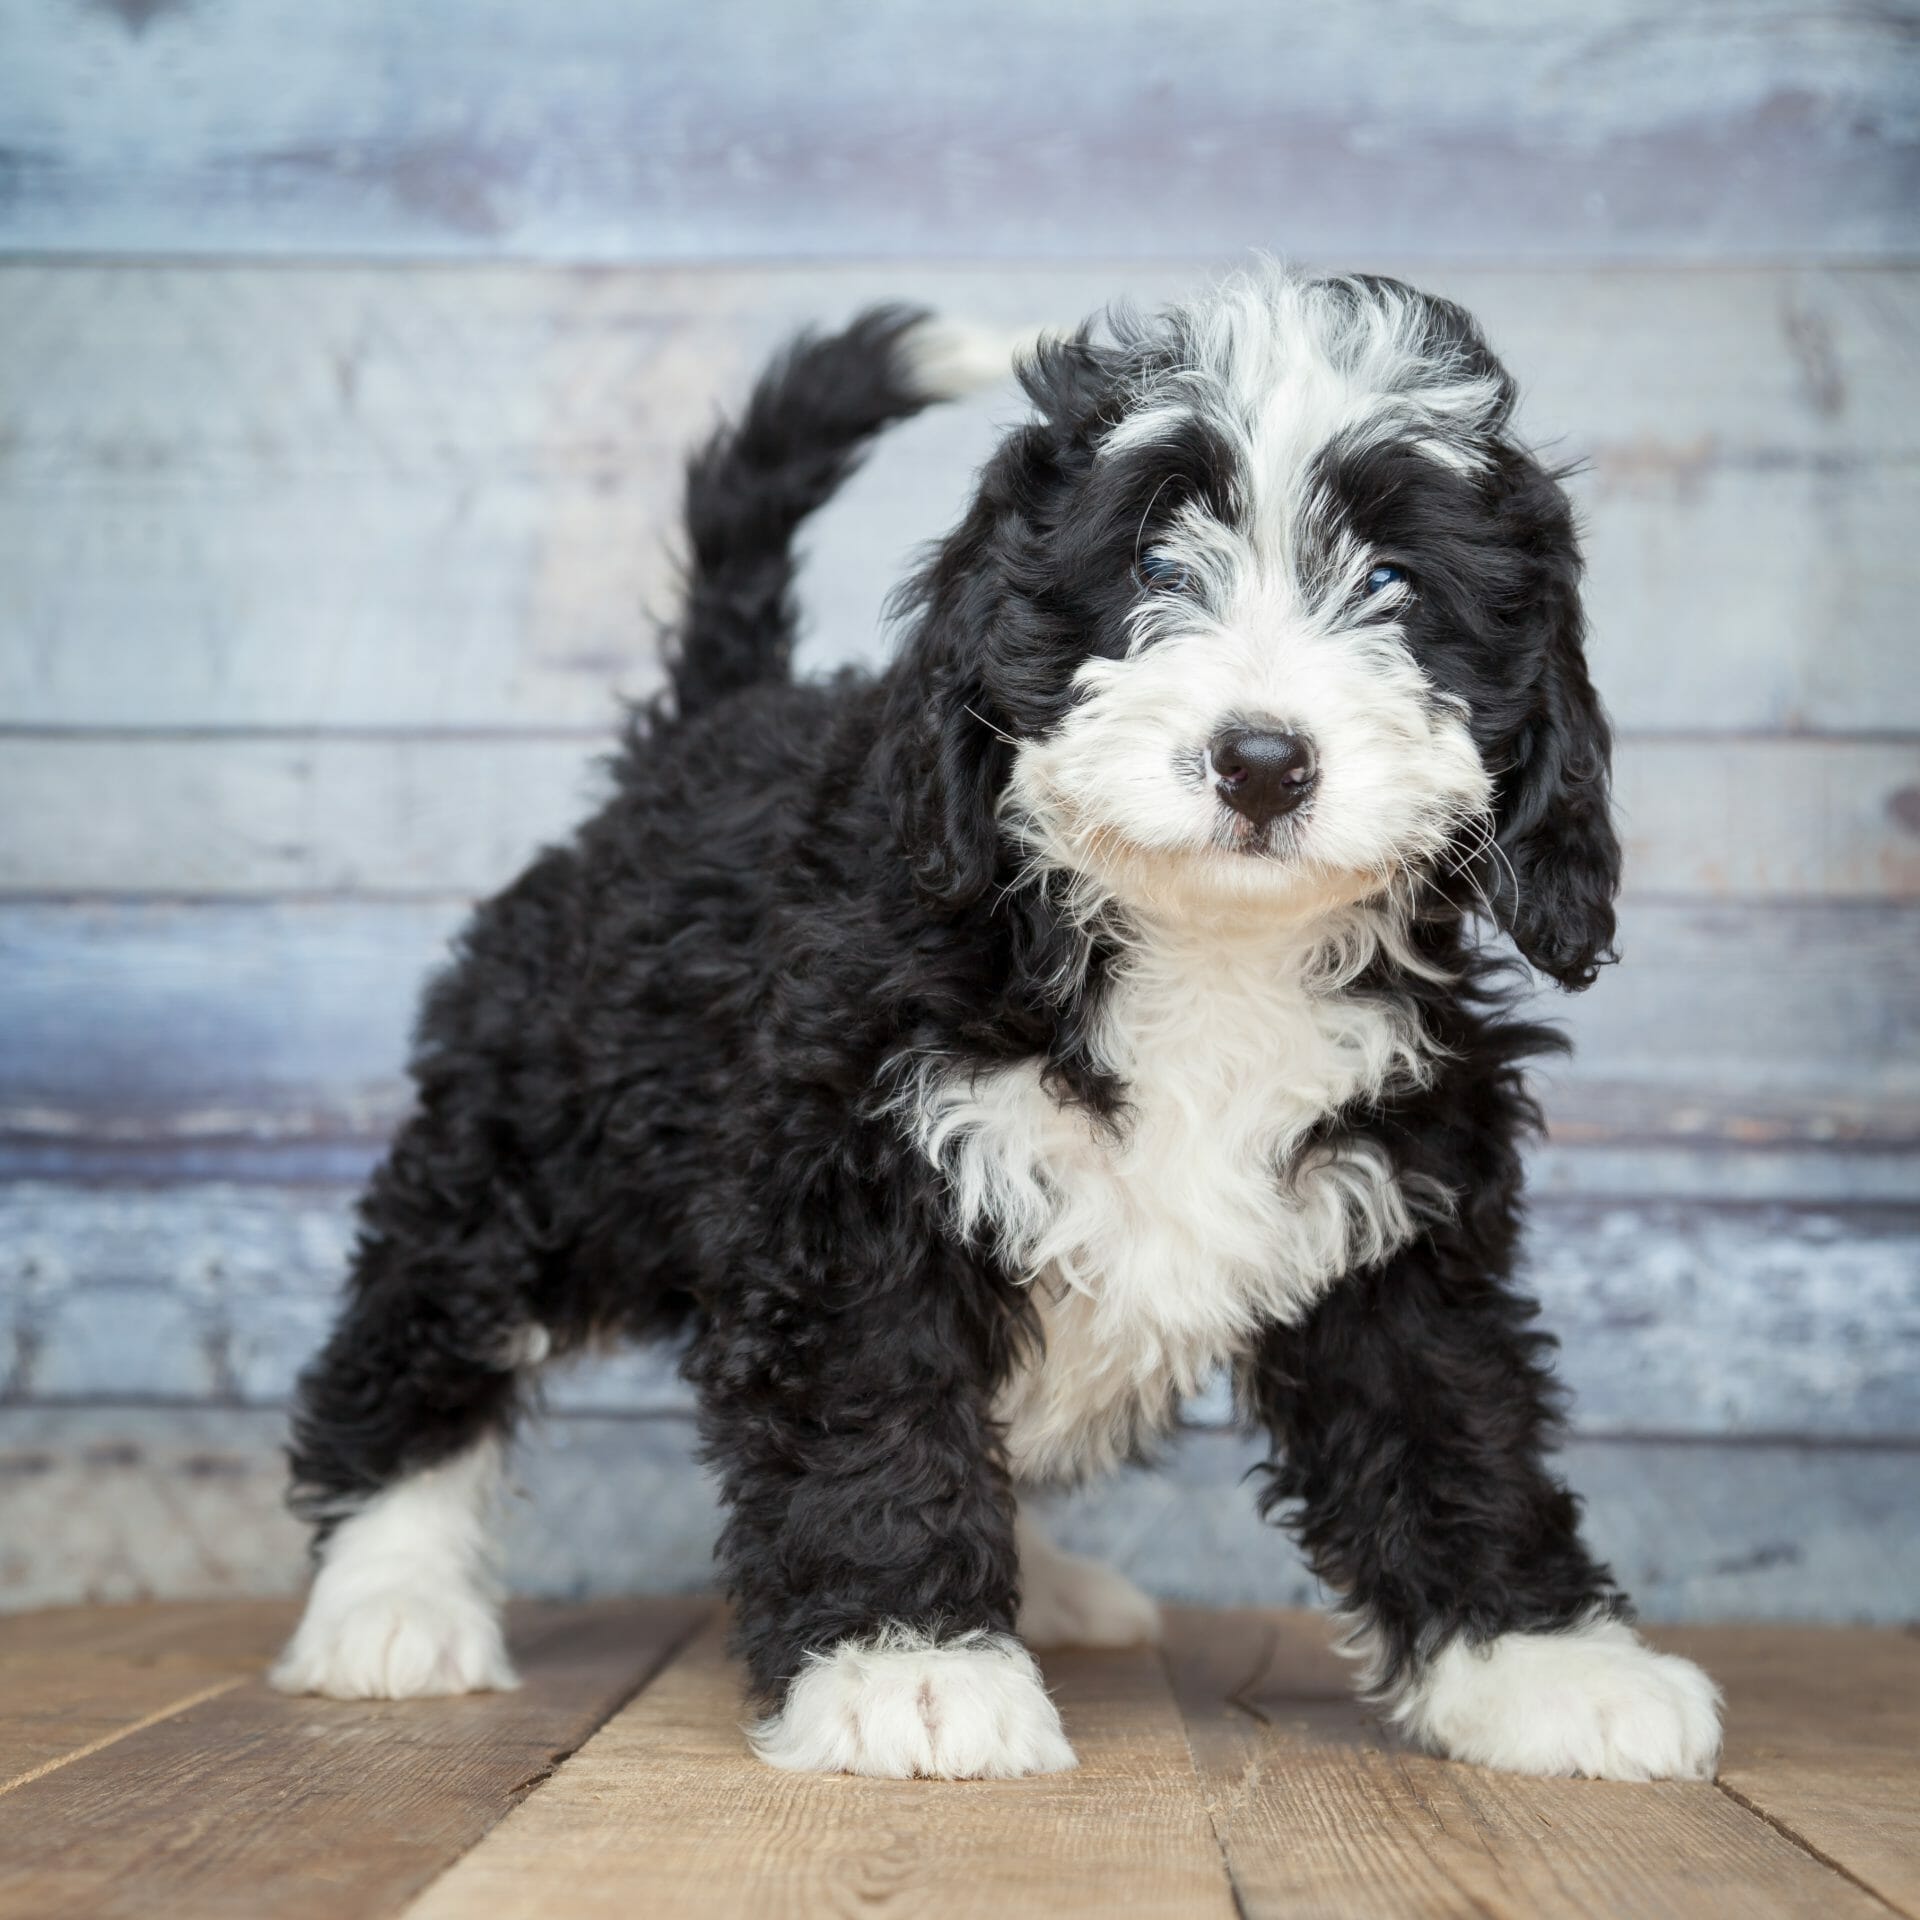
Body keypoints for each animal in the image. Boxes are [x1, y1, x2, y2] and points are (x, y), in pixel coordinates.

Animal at [270, 270, 1728, 1781]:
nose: (1264, 761)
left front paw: (1543, 1660)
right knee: (428, 1321)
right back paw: (389, 1596)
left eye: (1393, 586)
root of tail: (706, 723)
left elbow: (1454, 1418)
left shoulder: (1399, 1194)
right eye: (1156, 570)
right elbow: (875, 1406)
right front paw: (905, 1665)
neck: (1205, 951)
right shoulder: (857, 1171)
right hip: (548, 1136)